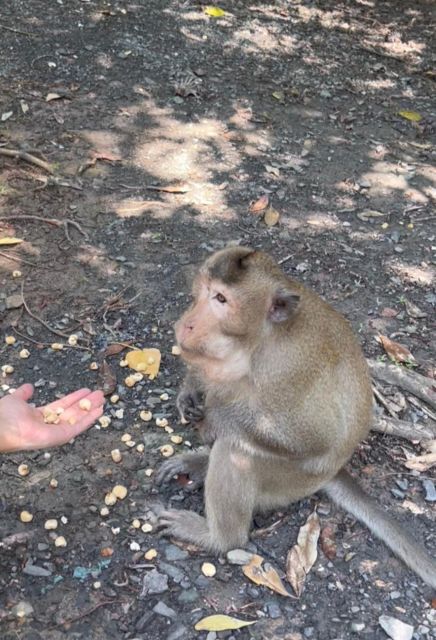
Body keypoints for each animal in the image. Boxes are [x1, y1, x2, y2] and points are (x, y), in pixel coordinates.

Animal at [157, 246, 436, 592]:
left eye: (221, 299)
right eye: (203, 291)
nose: (188, 324)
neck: (258, 340)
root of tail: (334, 472)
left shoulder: (287, 370)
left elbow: (314, 438)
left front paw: (214, 420)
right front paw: (190, 394)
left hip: (291, 481)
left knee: (237, 450)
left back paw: (217, 537)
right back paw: (199, 463)